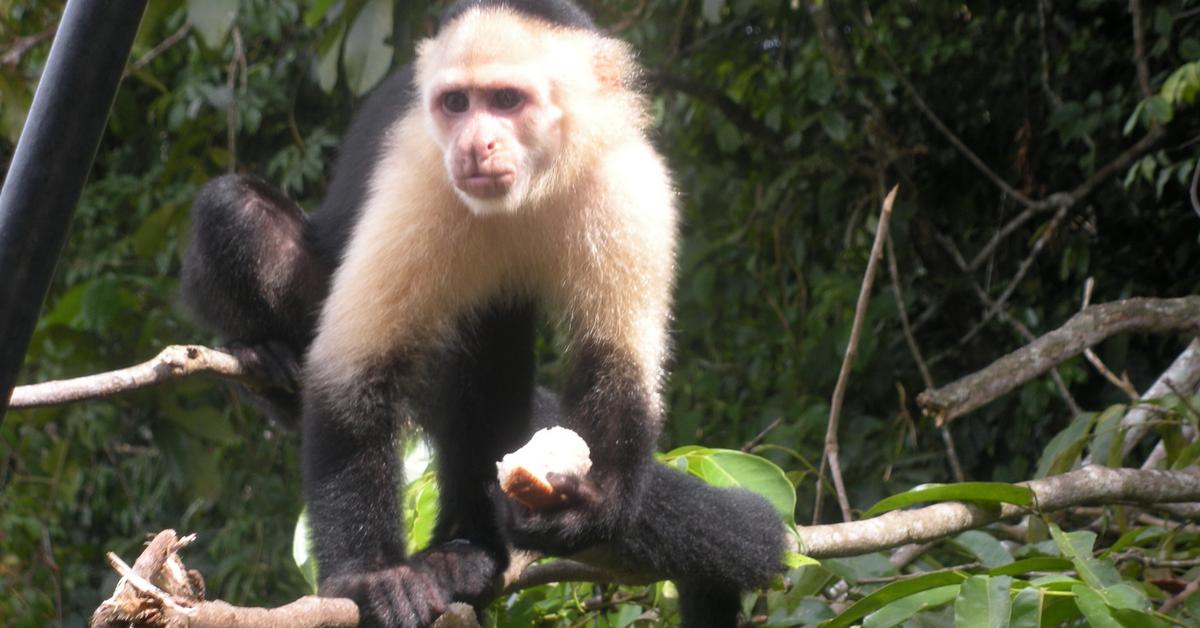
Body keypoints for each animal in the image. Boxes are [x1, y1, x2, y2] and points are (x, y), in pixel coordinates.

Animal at [180, 1, 787, 628]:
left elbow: (618, 363)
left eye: (506, 100)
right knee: (238, 211)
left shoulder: (629, 183)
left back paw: (467, 549)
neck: (535, 185)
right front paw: (369, 574)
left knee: (491, 342)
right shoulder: (419, 181)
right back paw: (264, 355)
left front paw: (584, 511)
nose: (474, 144)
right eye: (456, 104)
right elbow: (354, 367)